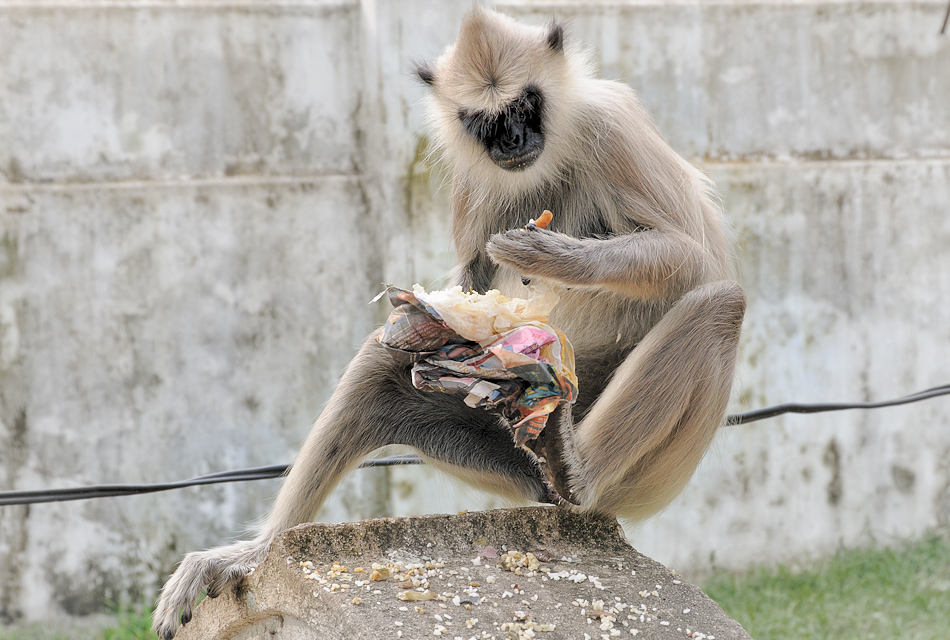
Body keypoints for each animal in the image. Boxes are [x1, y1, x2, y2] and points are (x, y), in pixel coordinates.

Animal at [156, 7, 748, 636]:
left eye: (525, 107)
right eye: (485, 121)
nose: (512, 140)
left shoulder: (611, 128)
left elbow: (695, 258)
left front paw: (553, 255)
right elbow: (469, 280)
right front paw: (437, 318)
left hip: (644, 471)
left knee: (720, 303)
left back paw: (579, 475)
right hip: (506, 459)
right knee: (383, 360)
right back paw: (254, 553)